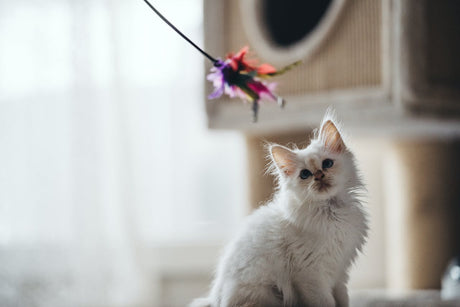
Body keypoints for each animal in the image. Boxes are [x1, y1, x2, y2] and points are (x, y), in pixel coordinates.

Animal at [190, 112, 366, 306]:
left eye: (327, 164)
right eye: (305, 174)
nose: (319, 176)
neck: (332, 212)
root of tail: (215, 300)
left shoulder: (340, 272)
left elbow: (343, 300)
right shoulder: (311, 275)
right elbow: (326, 302)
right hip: (265, 293)